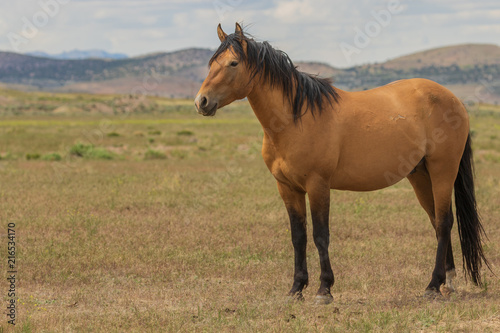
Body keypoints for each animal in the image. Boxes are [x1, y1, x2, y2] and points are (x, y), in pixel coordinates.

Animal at [194, 22, 488, 304]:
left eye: (233, 63)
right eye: (212, 63)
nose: (201, 102)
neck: (294, 119)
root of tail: (454, 99)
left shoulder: (318, 186)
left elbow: (320, 236)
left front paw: (324, 290)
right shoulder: (288, 188)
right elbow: (298, 237)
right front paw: (296, 289)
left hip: (442, 171)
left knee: (444, 222)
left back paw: (432, 286)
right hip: (420, 176)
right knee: (437, 221)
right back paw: (445, 284)